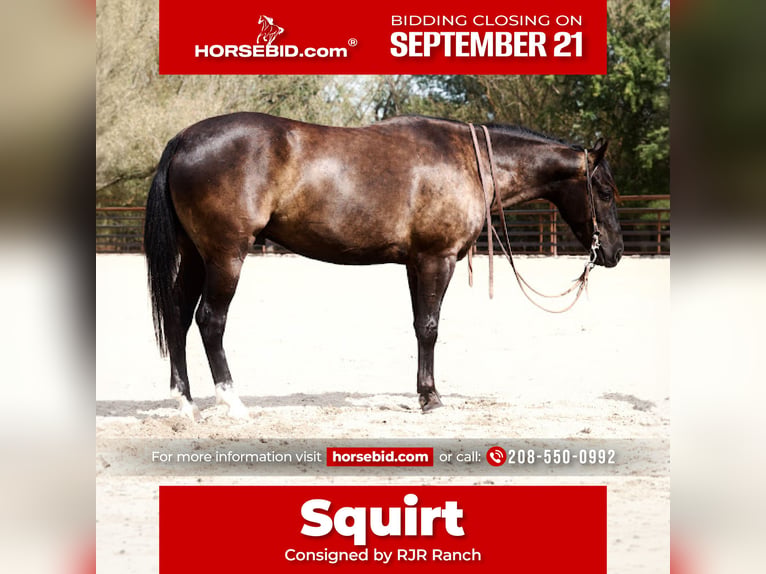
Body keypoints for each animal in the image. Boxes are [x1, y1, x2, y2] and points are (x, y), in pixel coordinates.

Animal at [144, 113, 623, 421]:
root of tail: (184, 139)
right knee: (210, 320)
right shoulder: (436, 259)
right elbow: (429, 327)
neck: (470, 162)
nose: (614, 252)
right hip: (226, 255)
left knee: (178, 318)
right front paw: (431, 399)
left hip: (196, 257)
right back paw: (232, 401)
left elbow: (418, 326)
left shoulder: (416, 263)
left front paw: (424, 392)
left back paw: (185, 402)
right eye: (604, 190)